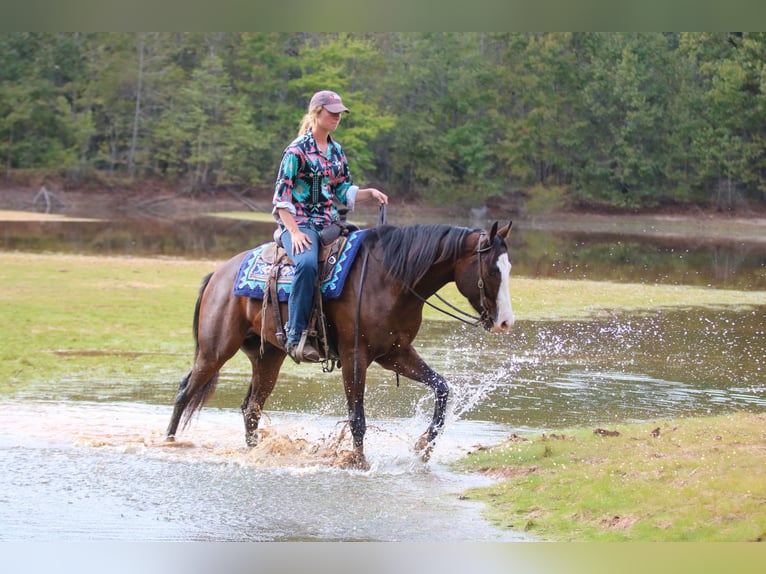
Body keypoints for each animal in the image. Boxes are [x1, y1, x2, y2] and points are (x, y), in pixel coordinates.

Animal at [165, 221, 514, 468]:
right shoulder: (354, 356)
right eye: (491, 269)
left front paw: (422, 448)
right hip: (215, 350)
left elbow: (442, 389)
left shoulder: (396, 353)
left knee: (251, 407)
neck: (392, 279)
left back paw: (255, 451)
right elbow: (357, 416)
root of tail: (218, 274)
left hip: (268, 357)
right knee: (185, 393)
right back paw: (168, 442)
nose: (505, 322)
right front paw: (358, 461)